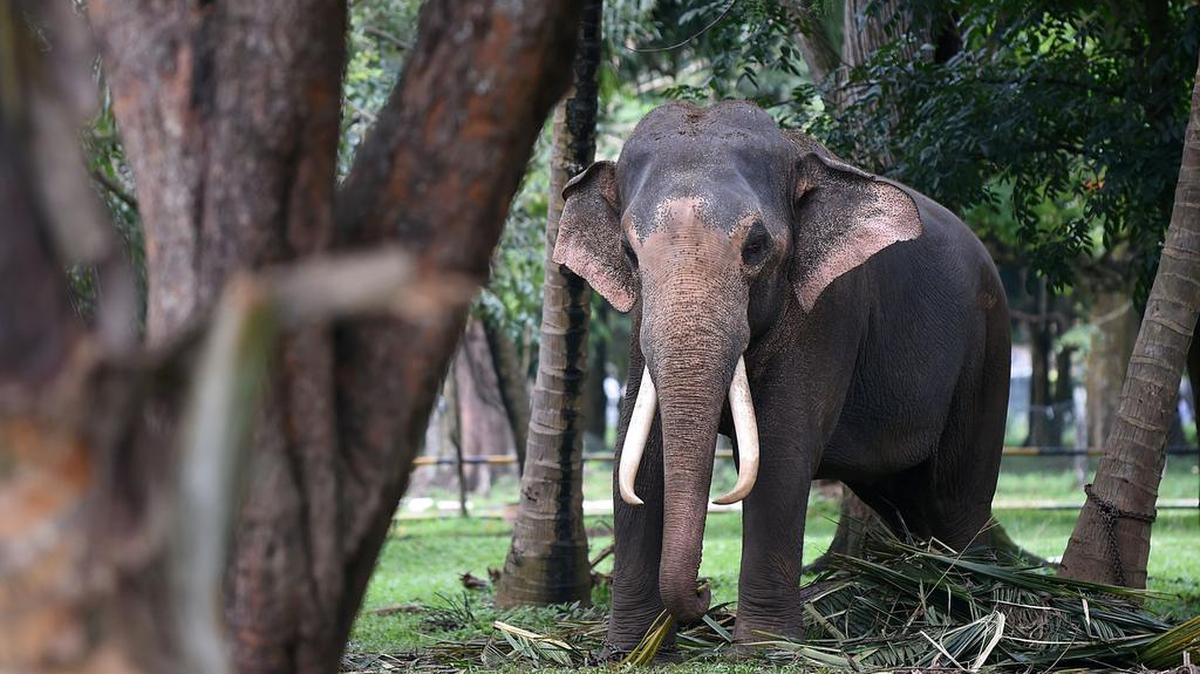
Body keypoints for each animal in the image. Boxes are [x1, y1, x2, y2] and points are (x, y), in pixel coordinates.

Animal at [552, 101, 1010, 649]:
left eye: (755, 245)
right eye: (627, 250)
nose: (706, 592)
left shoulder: (829, 311)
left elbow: (781, 452)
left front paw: (767, 647)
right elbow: (639, 455)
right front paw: (628, 650)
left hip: (988, 353)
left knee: (956, 499)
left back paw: (974, 609)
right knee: (909, 500)